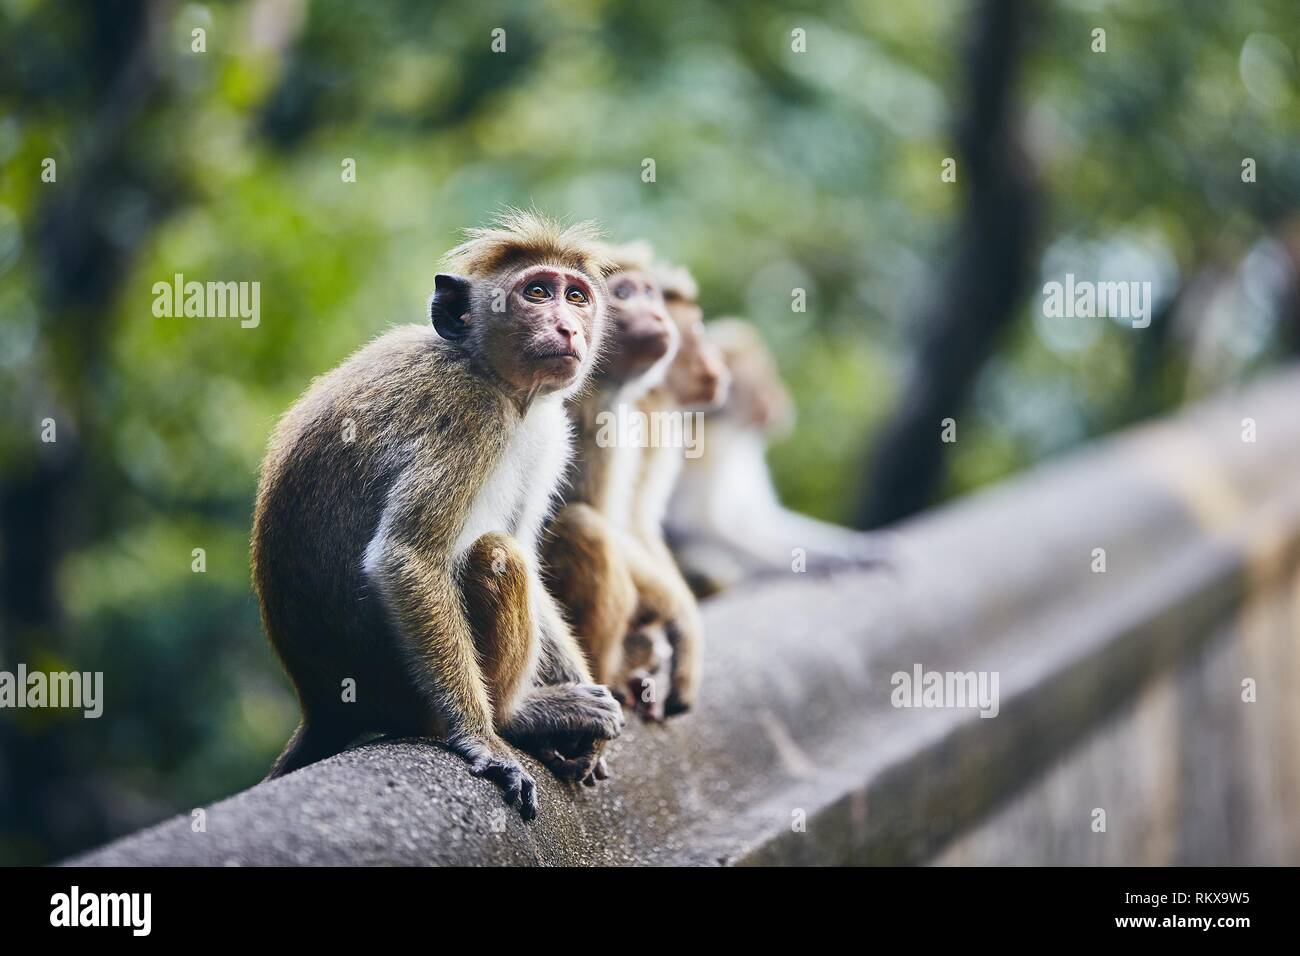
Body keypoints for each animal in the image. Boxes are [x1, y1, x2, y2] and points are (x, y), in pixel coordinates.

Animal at [252, 210, 624, 822]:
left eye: (576, 296)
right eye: (537, 293)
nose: (569, 328)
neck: (490, 374)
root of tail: (324, 705)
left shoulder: (548, 431)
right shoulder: (466, 412)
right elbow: (409, 557)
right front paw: (482, 740)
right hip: (404, 697)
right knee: (496, 556)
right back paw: (519, 717)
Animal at [670, 317, 894, 595]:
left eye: (771, 374)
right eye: (762, 384)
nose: (780, 396)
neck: (732, 434)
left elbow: (761, 520)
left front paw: (852, 547)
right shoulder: (700, 456)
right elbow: (689, 527)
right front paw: (806, 564)